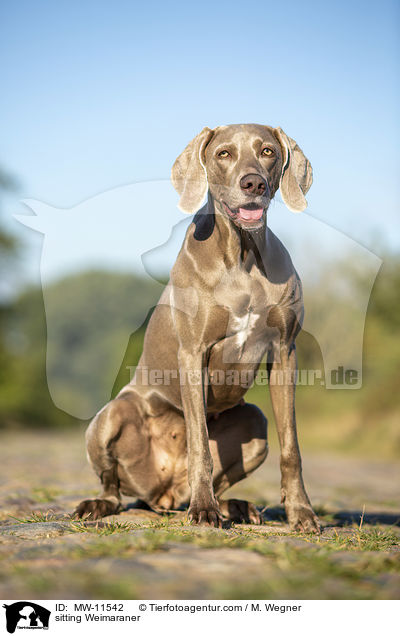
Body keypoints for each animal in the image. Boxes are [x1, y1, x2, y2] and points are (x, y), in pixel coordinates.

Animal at [74, 124, 318, 532]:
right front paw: (203, 511)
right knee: (113, 485)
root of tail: (164, 494)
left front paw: (301, 512)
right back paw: (101, 504)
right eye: (223, 154)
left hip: (255, 423)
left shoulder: (285, 351)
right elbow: (200, 444)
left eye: (268, 151)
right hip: (110, 417)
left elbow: (292, 447)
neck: (243, 256)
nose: (253, 183)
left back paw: (236, 507)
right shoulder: (192, 353)